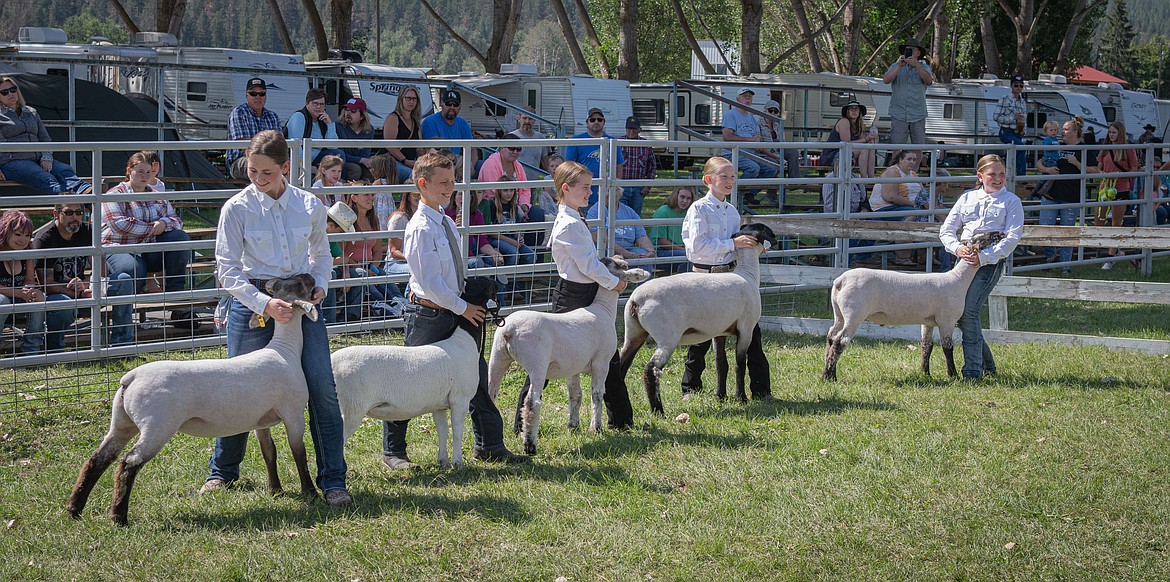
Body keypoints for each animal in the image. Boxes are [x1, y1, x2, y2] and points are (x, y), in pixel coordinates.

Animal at [66, 274, 318, 524]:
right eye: (299, 284)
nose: (311, 276)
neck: (285, 350)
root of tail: (130, 378)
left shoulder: (260, 420)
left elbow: (269, 452)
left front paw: (275, 490)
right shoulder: (293, 413)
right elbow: (299, 452)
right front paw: (310, 493)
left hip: (122, 423)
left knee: (98, 459)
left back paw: (74, 508)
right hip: (157, 425)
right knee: (128, 462)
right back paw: (118, 516)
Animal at [332, 274, 496, 470]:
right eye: (486, 284)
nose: (494, 280)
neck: (464, 341)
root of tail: (332, 361)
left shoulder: (438, 404)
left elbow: (442, 430)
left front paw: (444, 461)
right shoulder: (460, 399)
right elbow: (457, 431)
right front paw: (458, 463)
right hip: (353, 407)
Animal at [484, 257, 650, 454]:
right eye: (621, 266)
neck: (603, 309)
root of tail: (509, 330)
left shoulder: (573, 366)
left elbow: (575, 395)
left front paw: (573, 425)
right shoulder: (602, 361)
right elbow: (597, 393)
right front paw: (596, 427)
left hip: (497, 356)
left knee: (489, 394)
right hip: (537, 363)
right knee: (531, 402)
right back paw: (529, 445)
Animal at [617, 220, 781, 414]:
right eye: (768, 231)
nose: (776, 240)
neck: (747, 274)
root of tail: (636, 300)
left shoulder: (719, 332)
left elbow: (721, 364)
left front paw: (721, 396)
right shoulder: (746, 328)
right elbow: (739, 364)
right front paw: (741, 398)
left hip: (634, 333)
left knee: (620, 365)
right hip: (667, 337)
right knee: (651, 369)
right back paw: (658, 411)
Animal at [823, 231, 1006, 381]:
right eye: (983, 238)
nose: (1001, 233)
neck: (958, 279)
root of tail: (840, 281)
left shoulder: (928, 321)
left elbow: (927, 346)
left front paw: (926, 374)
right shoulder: (946, 320)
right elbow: (947, 347)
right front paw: (952, 375)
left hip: (839, 314)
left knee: (831, 337)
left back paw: (827, 373)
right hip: (854, 314)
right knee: (840, 341)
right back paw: (830, 378)